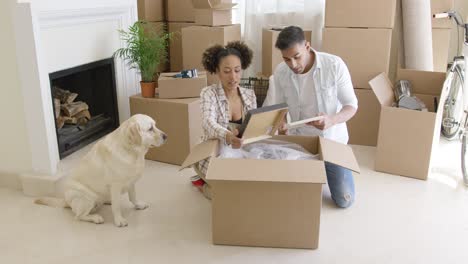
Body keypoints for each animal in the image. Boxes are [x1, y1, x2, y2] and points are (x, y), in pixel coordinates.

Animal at [37, 113, 168, 227]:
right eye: (150, 129)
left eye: (155, 125)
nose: (166, 136)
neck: (130, 151)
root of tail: (66, 201)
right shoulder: (115, 185)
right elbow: (116, 207)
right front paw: (119, 220)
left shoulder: (131, 182)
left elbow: (133, 197)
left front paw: (138, 205)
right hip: (87, 198)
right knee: (78, 216)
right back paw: (95, 217)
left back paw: (107, 201)